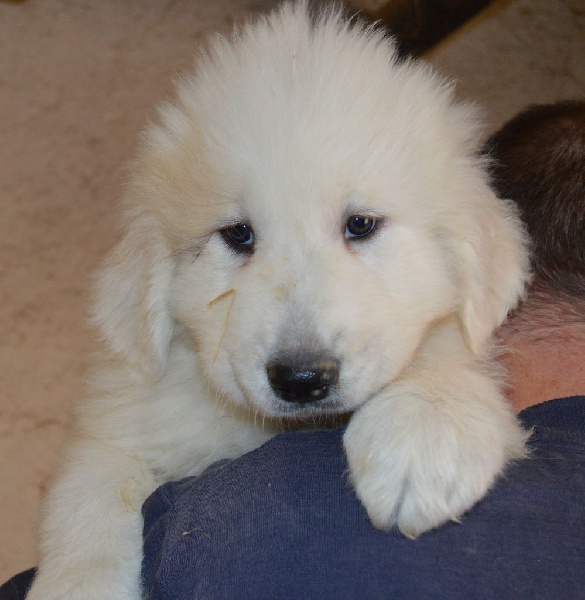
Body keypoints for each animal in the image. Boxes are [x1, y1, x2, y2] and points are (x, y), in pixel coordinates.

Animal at [26, 2, 528, 596]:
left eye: (361, 225)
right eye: (238, 234)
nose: (302, 378)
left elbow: (441, 345)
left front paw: (425, 435)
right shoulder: (121, 420)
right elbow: (89, 498)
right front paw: (78, 582)